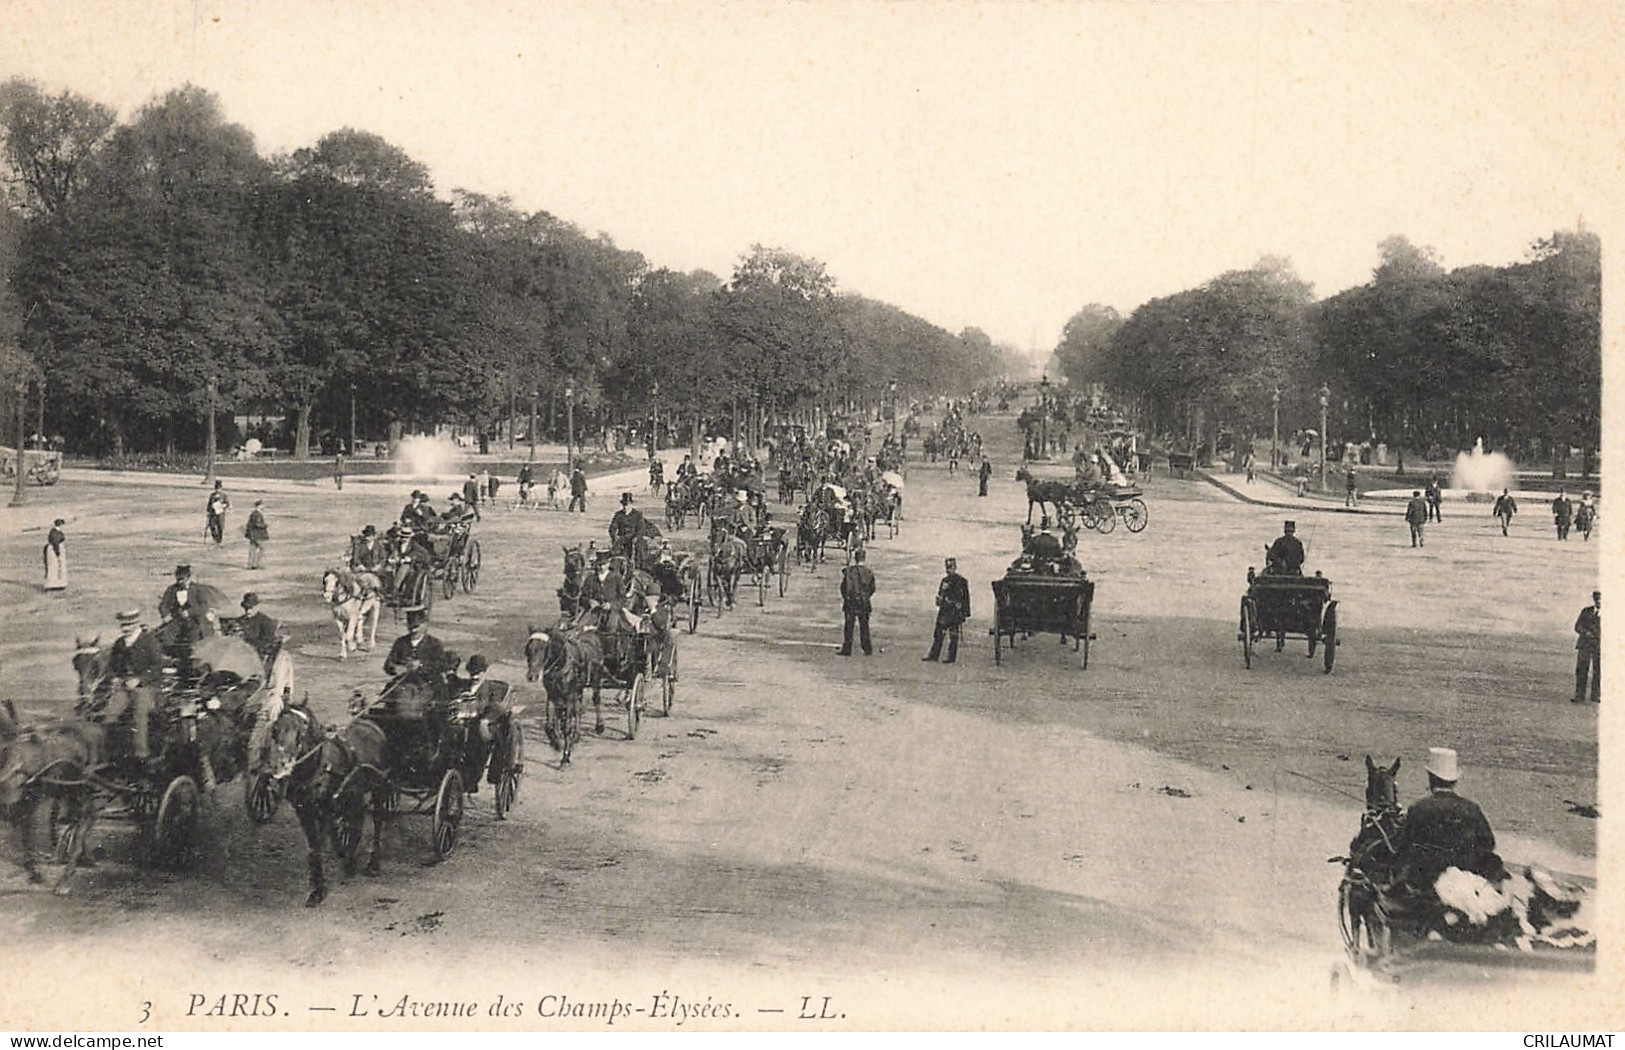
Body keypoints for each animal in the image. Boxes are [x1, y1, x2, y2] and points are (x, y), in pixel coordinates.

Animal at [529, 624, 607, 763]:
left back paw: (599, 726)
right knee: (578, 710)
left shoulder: (569, 695)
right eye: (528, 649)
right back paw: (576, 736)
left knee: (596, 699)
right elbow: (549, 725)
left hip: (595, 680)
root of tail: (591, 633)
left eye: (543, 648)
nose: (531, 676)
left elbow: (566, 727)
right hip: (578, 689)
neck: (560, 665)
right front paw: (556, 743)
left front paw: (565, 756)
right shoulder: (552, 695)